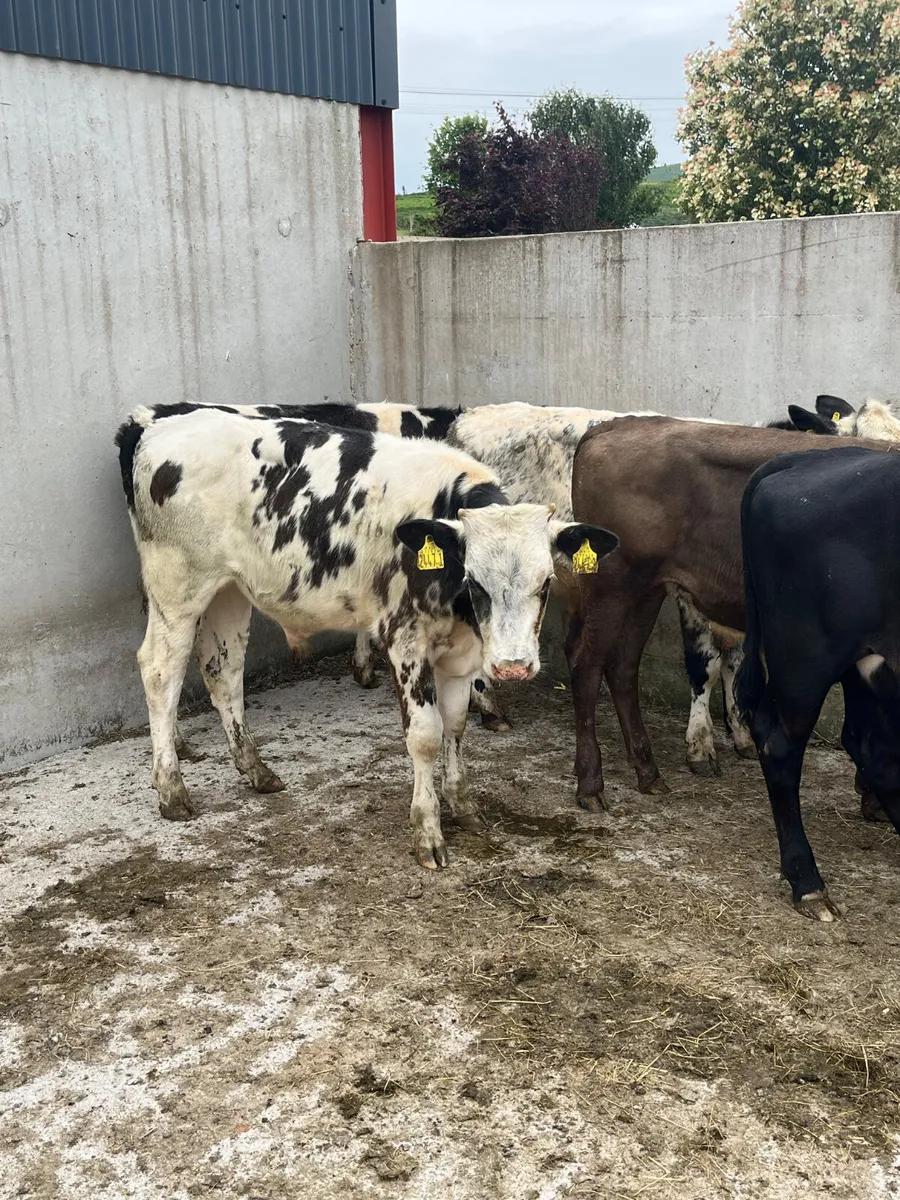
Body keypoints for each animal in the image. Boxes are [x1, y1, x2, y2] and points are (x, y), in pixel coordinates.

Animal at [115, 406, 616, 869]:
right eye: (475, 581)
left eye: (546, 582)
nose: (514, 665)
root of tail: (162, 426)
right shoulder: (405, 639)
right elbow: (426, 734)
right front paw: (428, 831)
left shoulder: (463, 652)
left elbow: (455, 725)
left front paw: (463, 804)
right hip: (177, 588)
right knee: (160, 672)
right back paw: (172, 790)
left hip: (229, 590)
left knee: (223, 671)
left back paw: (255, 769)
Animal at [566, 417, 895, 812]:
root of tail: (619, 425)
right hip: (611, 586)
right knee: (586, 667)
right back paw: (590, 783)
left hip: (646, 590)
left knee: (623, 666)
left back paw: (648, 772)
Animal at [736, 446, 900, 920]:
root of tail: (804, 458)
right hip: (806, 658)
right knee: (781, 748)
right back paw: (807, 882)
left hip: (865, 662)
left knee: (871, 748)